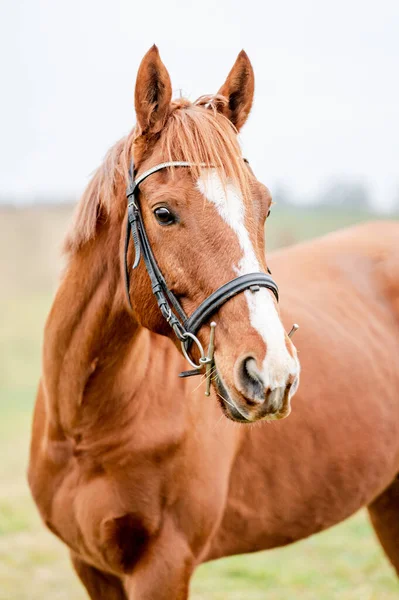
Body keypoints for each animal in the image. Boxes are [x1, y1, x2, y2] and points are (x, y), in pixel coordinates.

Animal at [28, 48, 399, 600]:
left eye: (265, 206)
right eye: (163, 213)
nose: (273, 375)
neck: (84, 426)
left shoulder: (164, 568)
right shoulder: (91, 568)